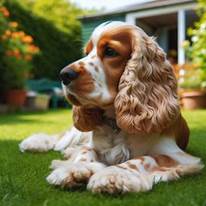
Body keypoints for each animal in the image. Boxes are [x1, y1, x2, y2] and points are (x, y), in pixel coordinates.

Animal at [20, 21, 204, 194]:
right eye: (86, 53)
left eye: (110, 51)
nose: (64, 74)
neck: (116, 122)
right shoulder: (93, 144)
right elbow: (85, 151)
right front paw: (75, 168)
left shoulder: (178, 155)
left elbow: (144, 159)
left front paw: (115, 174)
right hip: (78, 134)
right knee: (63, 138)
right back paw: (35, 142)